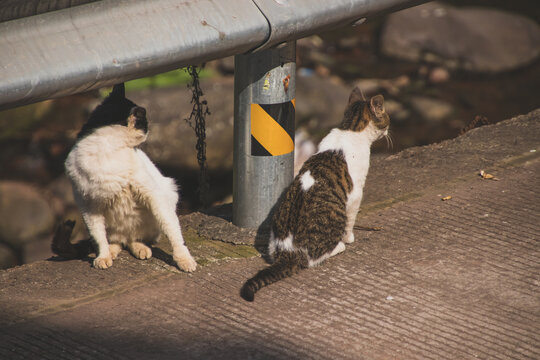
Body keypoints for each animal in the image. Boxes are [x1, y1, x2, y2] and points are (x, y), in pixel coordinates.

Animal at [51, 83, 196, 270]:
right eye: (145, 124)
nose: (149, 130)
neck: (107, 150)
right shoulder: (89, 206)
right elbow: (99, 237)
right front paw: (103, 256)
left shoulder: (155, 196)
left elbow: (173, 232)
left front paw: (184, 260)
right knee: (115, 241)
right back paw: (112, 252)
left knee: (137, 239)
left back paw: (141, 249)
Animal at [240, 87, 388, 300]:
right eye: (387, 117)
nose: (388, 131)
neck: (350, 128)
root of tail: (288, 252)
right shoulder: (355, 194)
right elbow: (351, 221)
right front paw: (349, 238)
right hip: (335, 216)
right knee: (314, 258)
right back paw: (339, 247)